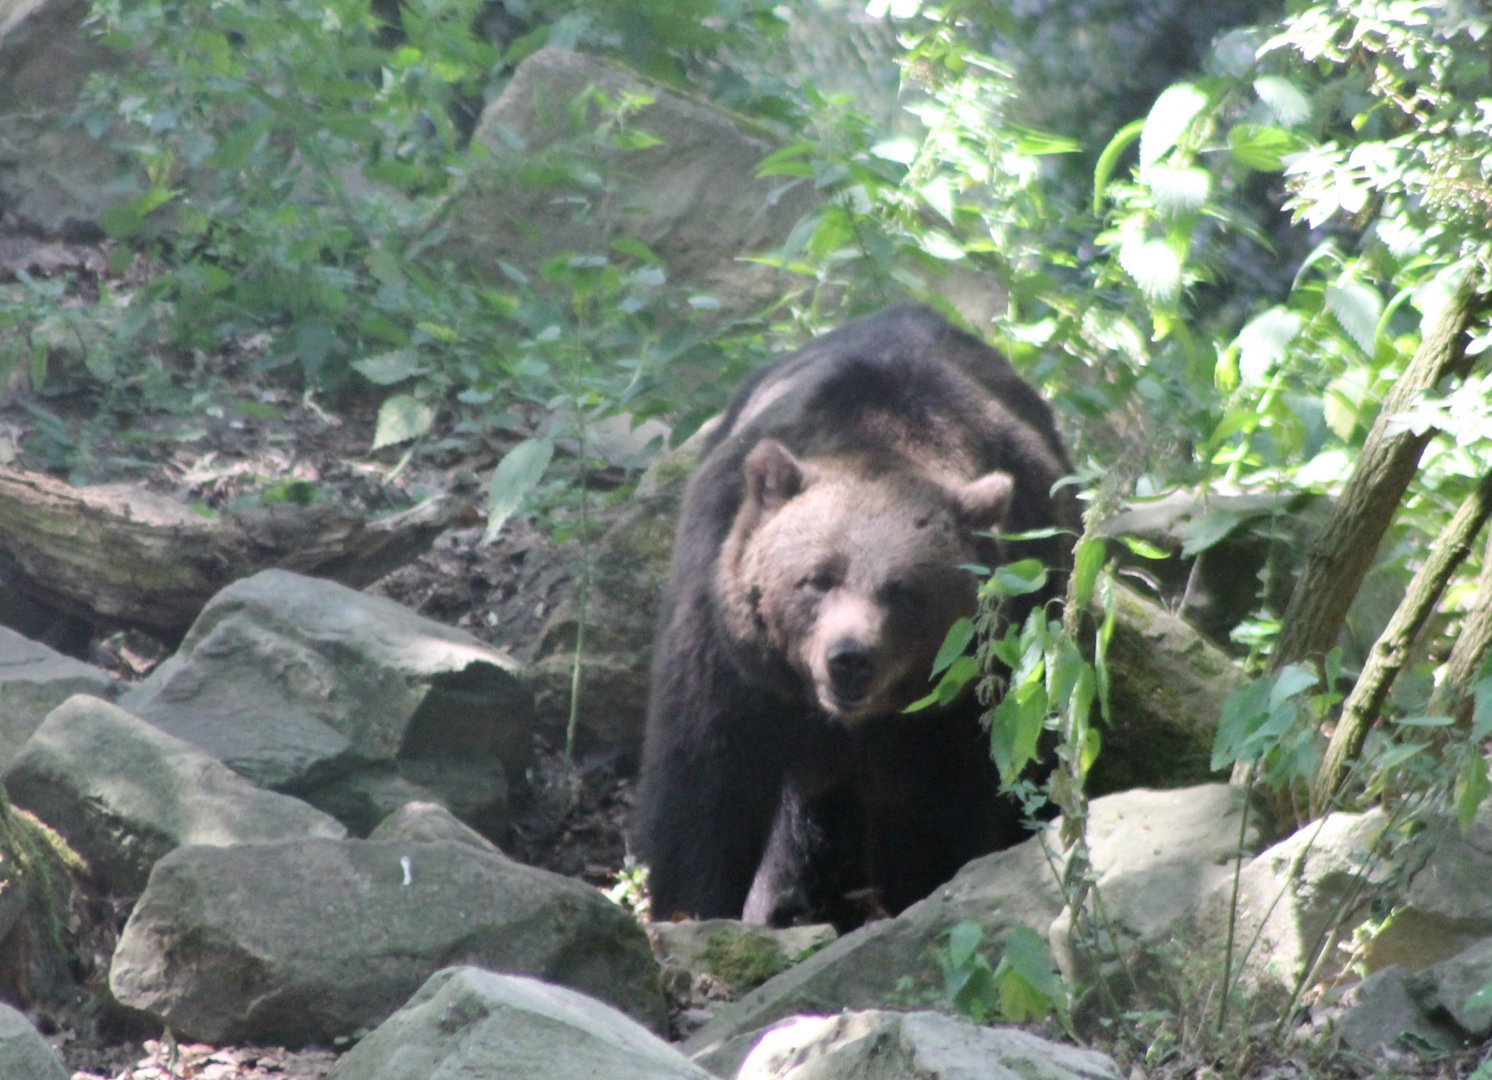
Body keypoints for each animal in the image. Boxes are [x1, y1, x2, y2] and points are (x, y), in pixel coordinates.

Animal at [632, 304, 1080, 929]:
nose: (849, 659)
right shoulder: (726, 646)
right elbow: (704, 788)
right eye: (818, 578)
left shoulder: (968, 685)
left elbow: (948, 808)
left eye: (904, 592)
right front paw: (693, 910)